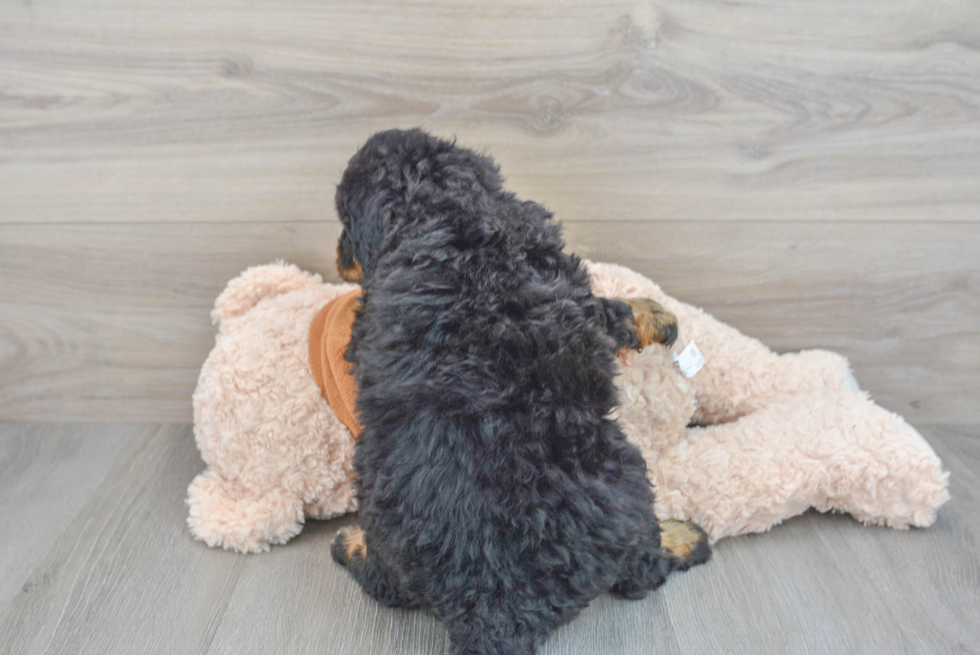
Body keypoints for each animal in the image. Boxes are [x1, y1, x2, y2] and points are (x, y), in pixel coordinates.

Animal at [334, 129, 708, 655]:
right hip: (625, 485)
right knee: (641, 567)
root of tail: (494, 610)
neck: (440, 210)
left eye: (345, 225)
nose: (338, 258)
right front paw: (651, 311)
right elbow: (608, 310)